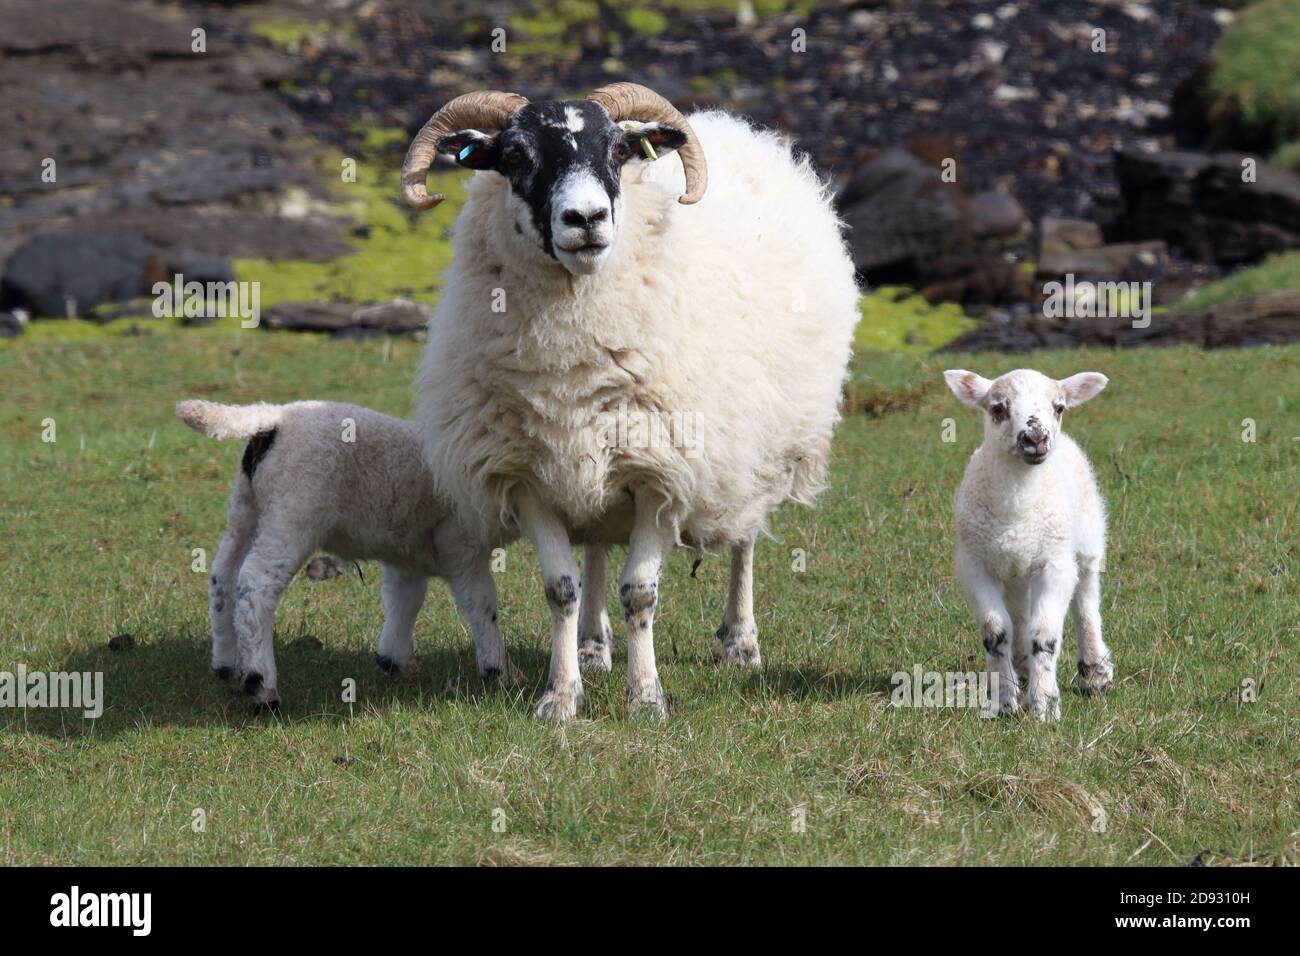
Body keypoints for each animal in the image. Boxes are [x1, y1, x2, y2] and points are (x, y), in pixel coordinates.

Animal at [176, 399, 523, 708]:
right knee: (256, 586)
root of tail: (273, 418)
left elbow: (405, 599)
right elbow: (481, 604)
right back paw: (261, 685)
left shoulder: (407, 552)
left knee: (223, 575)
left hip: (246, 508)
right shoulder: (460, 545)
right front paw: (500, 670)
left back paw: (227, 665)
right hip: (292, 511)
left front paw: (394, 660)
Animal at [401, 83, 859, 719]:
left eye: (617, 151)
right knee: (595, 544)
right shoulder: (527, 474)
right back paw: (594, 645)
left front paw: (646, 697)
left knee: (744, 537)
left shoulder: (663, 474)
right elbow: (560, 588)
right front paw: (560, 695)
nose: (586, 218)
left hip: (758, 444)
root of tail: (734, 126)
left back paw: (740, 641)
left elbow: (640, 592)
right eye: (514, 154)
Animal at [943, 368, 1114, 720]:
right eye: (997, 408)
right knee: (1019, 612)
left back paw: (1095, 671)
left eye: (1059, 407)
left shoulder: (1055, 564)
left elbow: (1045, 633)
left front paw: (1045, 705)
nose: (1035, 438)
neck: (1017, 509)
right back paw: (1021, 669)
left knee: (1086, 600)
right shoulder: (975, 564)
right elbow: (996, 630)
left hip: (1086, 540)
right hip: (1014, 565)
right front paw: (1001, 701)